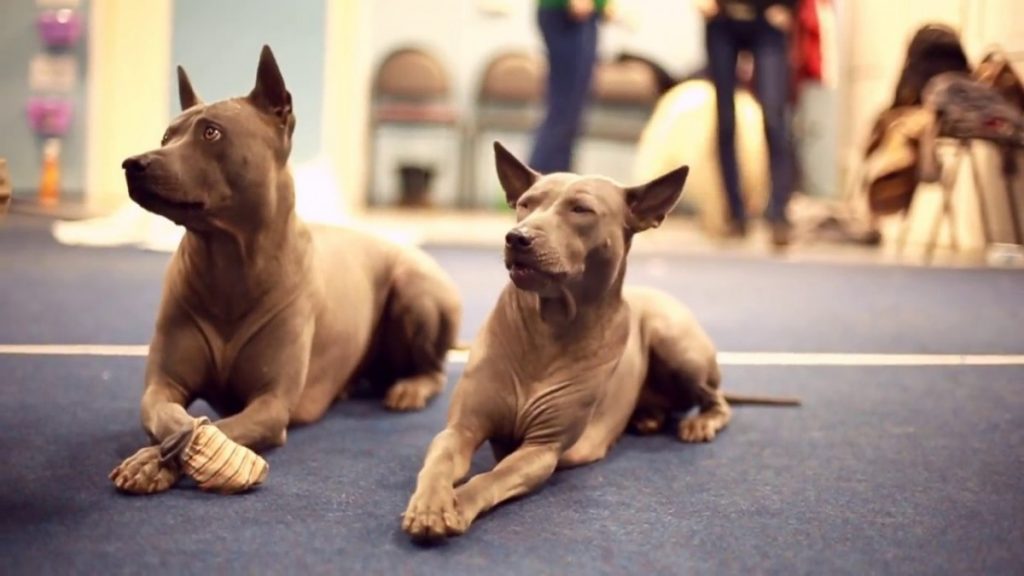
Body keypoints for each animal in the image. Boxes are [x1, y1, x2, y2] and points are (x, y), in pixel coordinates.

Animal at [108, 45, 460, 494]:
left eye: (211, 133)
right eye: (166, 137)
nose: (133, 163)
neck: (229, 265)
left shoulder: (271, 405)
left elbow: (217, 427)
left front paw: (157, 461)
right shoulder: (161, 386)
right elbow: (173, 418)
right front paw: (154, 458)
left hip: (416, 292)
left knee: (434, 369)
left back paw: (410, 387)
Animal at [401, 141, 798, 537]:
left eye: (581, 209)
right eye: (525, 204)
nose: (517, 238)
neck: (547, 328)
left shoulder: (542, 448)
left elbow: (491, 478)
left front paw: (459, 503)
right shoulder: (461, 428)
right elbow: (440, 459)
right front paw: (431, 503)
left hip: (673, 339)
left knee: (718, 401)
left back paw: (699, 422)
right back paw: (647, 417)